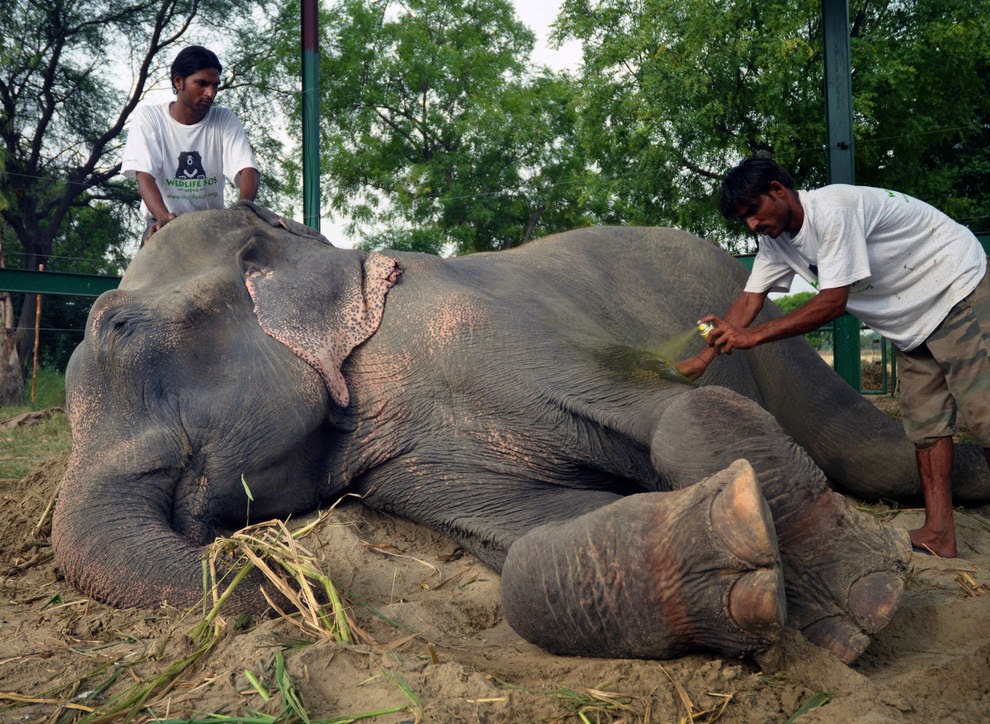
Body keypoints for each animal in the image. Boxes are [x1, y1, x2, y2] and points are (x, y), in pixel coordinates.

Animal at [52, 202, 990, 668]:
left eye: (120, 329)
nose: (280, 586)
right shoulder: (406, 464)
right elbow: (534, 537)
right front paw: (740, 568)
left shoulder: (497, 329)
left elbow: (672, 410)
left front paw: (862, 610)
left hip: (776, 338)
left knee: (868, 448)